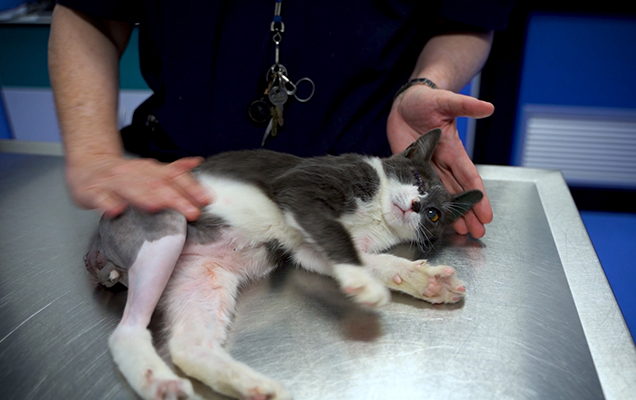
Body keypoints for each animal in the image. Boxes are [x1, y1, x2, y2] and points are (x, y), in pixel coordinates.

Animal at [84, 129, 482, 400]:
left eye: (433, 214)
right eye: (416, 179)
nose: (415, 205)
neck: (378, 214)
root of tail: (97, 247)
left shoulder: (307, 247)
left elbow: (359, 255)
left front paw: (423, 279)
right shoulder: (300, 188)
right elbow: (337, 235)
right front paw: (366, 284)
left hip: (201, 276)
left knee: (188, 347)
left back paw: (251, 385)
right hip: (166, 222)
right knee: (127, 331)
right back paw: (160, 383)